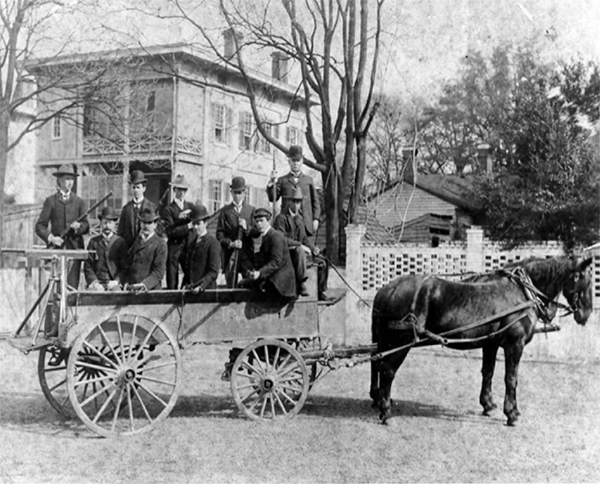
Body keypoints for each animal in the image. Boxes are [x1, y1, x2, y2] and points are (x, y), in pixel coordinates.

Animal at [368, 255, 592, 426]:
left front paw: (488, 405)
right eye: (584, 279)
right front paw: (511, 413)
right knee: (387, 371)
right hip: (401, 341)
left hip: (386, 340)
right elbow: (511, 379)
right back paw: (385, 411)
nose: (585, 314)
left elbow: (488, 372)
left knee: (377, 363)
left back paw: (379, 399)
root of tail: (388, 289)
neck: (523, 292)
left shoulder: (491, 343)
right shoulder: (515, 344)